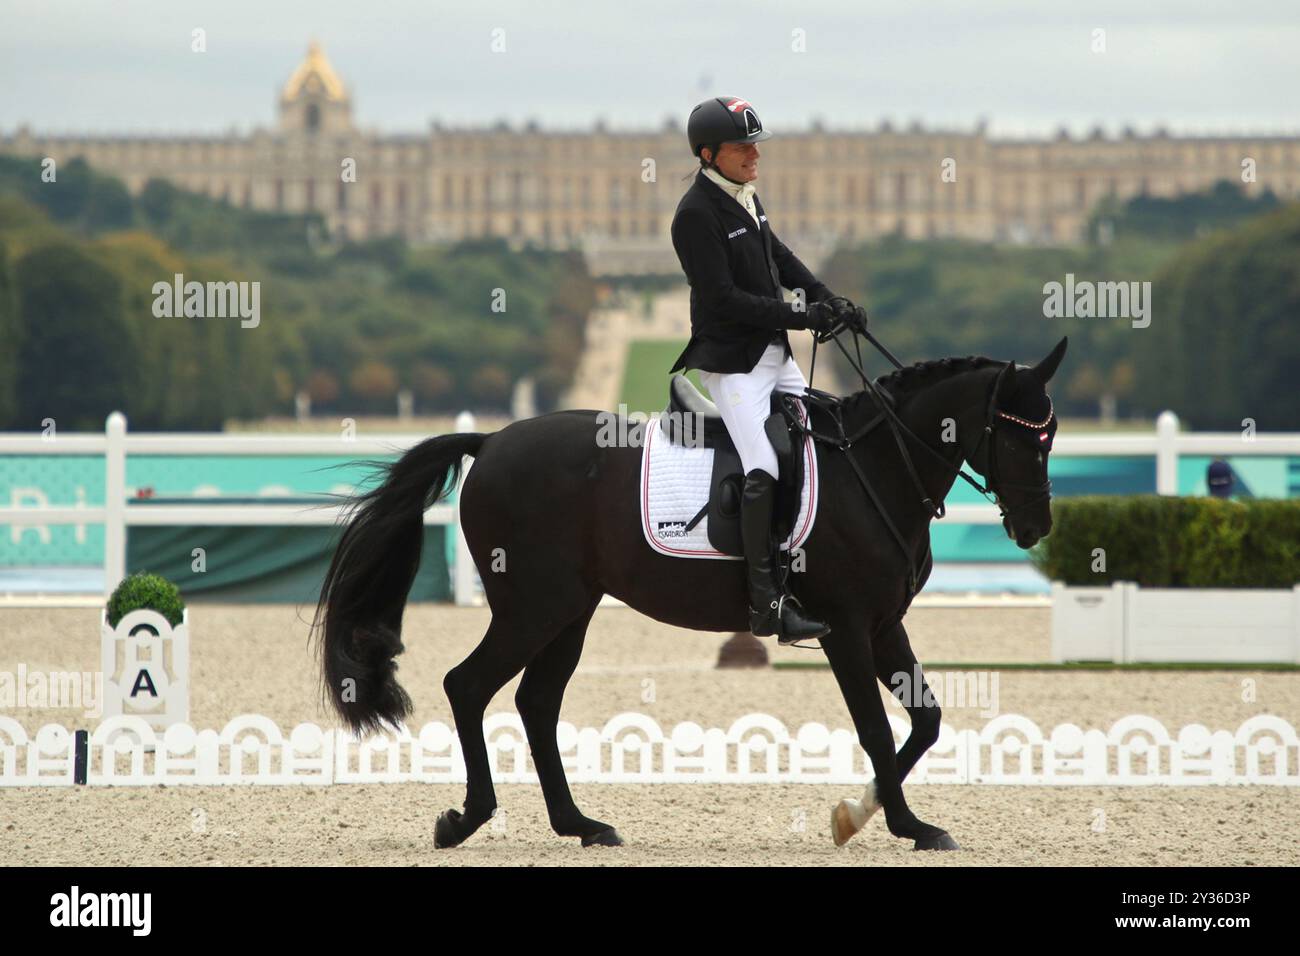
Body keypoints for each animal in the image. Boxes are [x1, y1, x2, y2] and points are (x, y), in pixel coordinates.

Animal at [312, 332, 1066, 848]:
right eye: (1017, 435)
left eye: (1051, 435)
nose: (1035, 528)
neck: (875, 468)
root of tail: (492, 441)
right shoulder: (847, 627)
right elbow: (879, 728)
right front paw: (876, 820)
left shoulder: (884, 624)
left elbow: (925, 719)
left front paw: (888, 819)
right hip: (534, 607)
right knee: (469, 686)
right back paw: (466, 820)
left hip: (570, 610)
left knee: (536, 702)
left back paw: (580, 824)